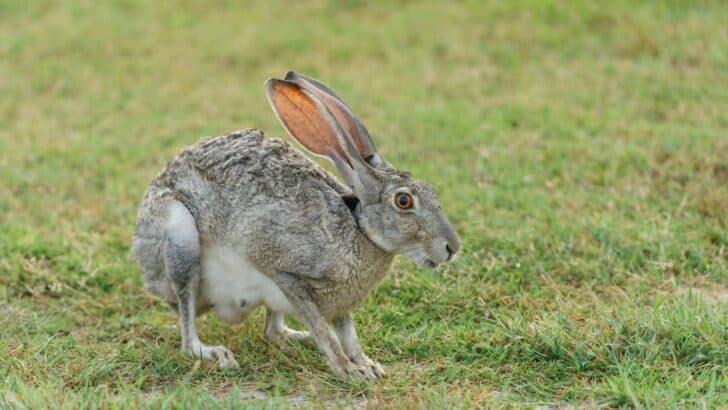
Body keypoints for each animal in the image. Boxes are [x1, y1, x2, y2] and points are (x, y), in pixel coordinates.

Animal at [132, 71, 460, 379]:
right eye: (404, 201)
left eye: (430, 189)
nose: (452, 247)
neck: (359, 231)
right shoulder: (286, 273)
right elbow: (324, 331)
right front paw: (348, 370)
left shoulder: (341, 305)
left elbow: (348, 335)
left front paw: (368, 366)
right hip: (180, 238)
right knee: (188, 327)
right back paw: (215, 353)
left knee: (274, 331)